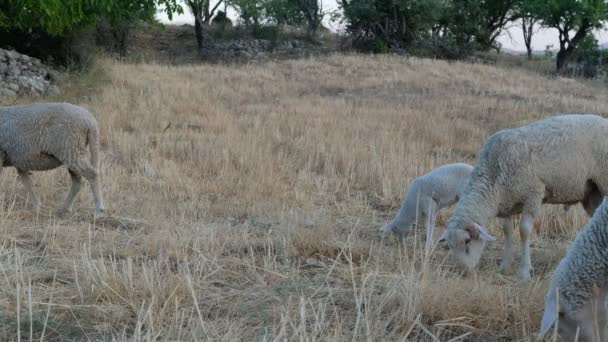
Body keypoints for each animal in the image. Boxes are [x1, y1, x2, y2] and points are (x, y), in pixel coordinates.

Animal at [436, 115, 608, 280]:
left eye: (467, 241)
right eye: (449, 246)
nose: (463, 272)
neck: (493, 170)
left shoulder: (533, 194)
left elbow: (524, 230)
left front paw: (525, 272)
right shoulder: (506, 203)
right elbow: (507, 230)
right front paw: (505, 266)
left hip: (603, 181)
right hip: (592, 192)